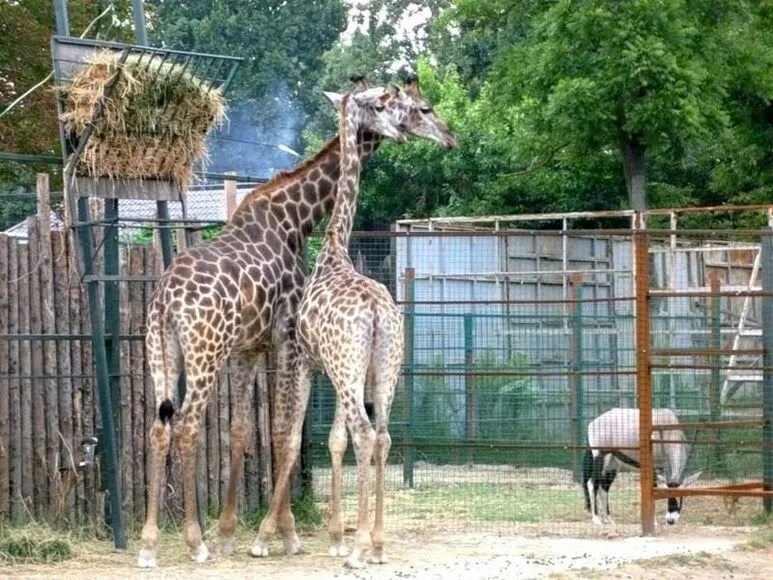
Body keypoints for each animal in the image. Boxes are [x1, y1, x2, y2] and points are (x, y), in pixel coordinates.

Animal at [136, 76, 450, 568]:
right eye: (404, 106)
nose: (447, 136)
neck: (296, 220)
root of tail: (167, 298)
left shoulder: (250, 347)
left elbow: (244, 432)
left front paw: (234, 532)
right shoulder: (286, 341)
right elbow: (285, 433)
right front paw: (282, 533)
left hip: (161, 351)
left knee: (158, 427)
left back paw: (150, 543)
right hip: (206, 353)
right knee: (186, 424)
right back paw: (195, 540)